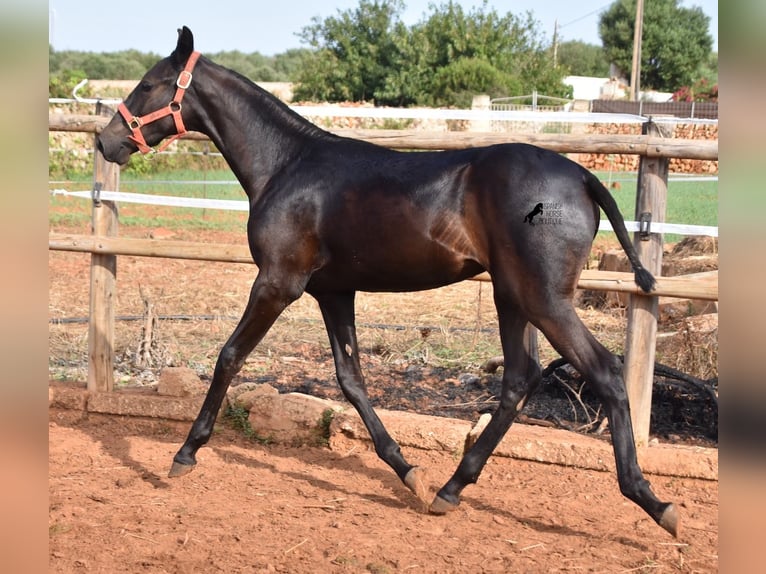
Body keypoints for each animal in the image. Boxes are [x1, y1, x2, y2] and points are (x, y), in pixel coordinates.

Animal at [96, 27, 680, 540]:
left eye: (148, 83)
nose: (106, 141)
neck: (286, 165)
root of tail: (582, 176)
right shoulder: (333, 292)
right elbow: (351, 378)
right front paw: (407, 471)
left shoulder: (278, 282)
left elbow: (230, 356)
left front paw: (184, 454)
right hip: (512, 296)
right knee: (520, 379)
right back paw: (449, 488)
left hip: (543, 298)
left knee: (603, 372)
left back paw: (654, 502)